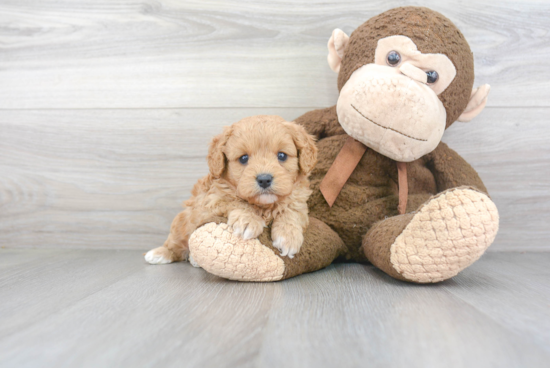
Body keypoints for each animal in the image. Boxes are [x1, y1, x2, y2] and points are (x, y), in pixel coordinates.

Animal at [144, 113, 320, 264]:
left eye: (282, 156)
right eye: (243, 158)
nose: (264, 179)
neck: (264, 206)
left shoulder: (299, 201)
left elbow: (291, 211)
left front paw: (288, 236)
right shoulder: (211, 201)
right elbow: (234, 200)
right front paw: (248, 220)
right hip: (181, 221)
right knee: (176, 243)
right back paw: (160, 254)